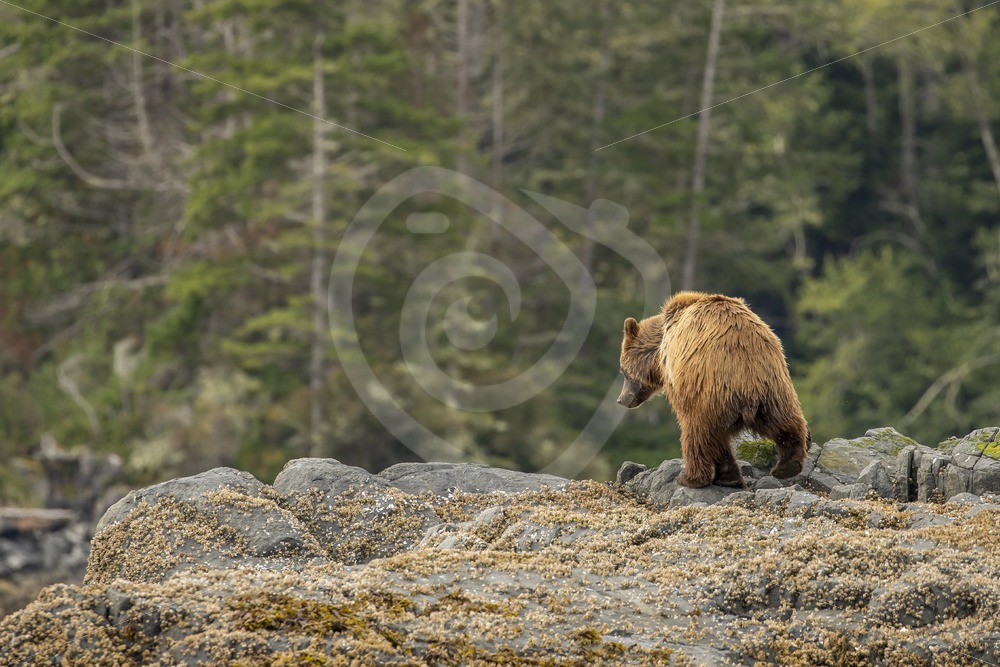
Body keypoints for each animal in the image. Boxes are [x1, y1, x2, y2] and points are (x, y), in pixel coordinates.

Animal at [617, 291, 809, 488]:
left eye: (623, 371)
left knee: (696, 432)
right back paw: (787, 465)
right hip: (772, 389)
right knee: (785, 422)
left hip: (711, 391)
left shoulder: (680, 379)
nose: (621, 399)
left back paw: (690, 478)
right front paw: (729, 477)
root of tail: (747, 389)